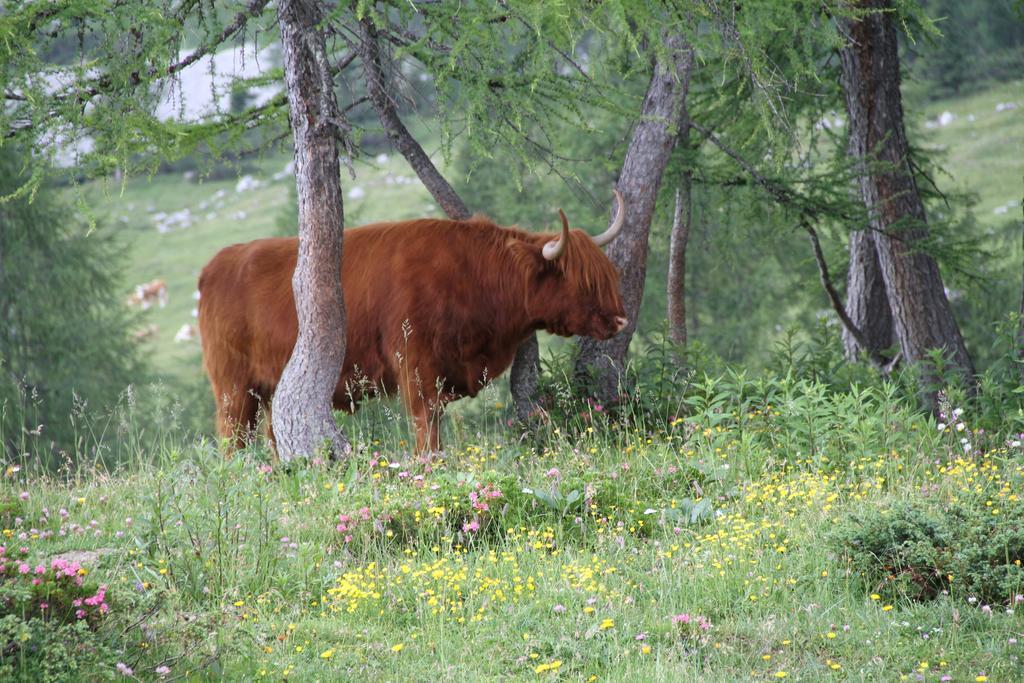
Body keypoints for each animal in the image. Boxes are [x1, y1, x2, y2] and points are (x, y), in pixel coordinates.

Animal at [196, 191, 626, 454]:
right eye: (585, 281)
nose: (621, 319)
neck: (474, 275)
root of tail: (219, 263)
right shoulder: (417, 365)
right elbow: (426, 424)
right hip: (234, 387)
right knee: (233, 438)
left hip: (269, 389)